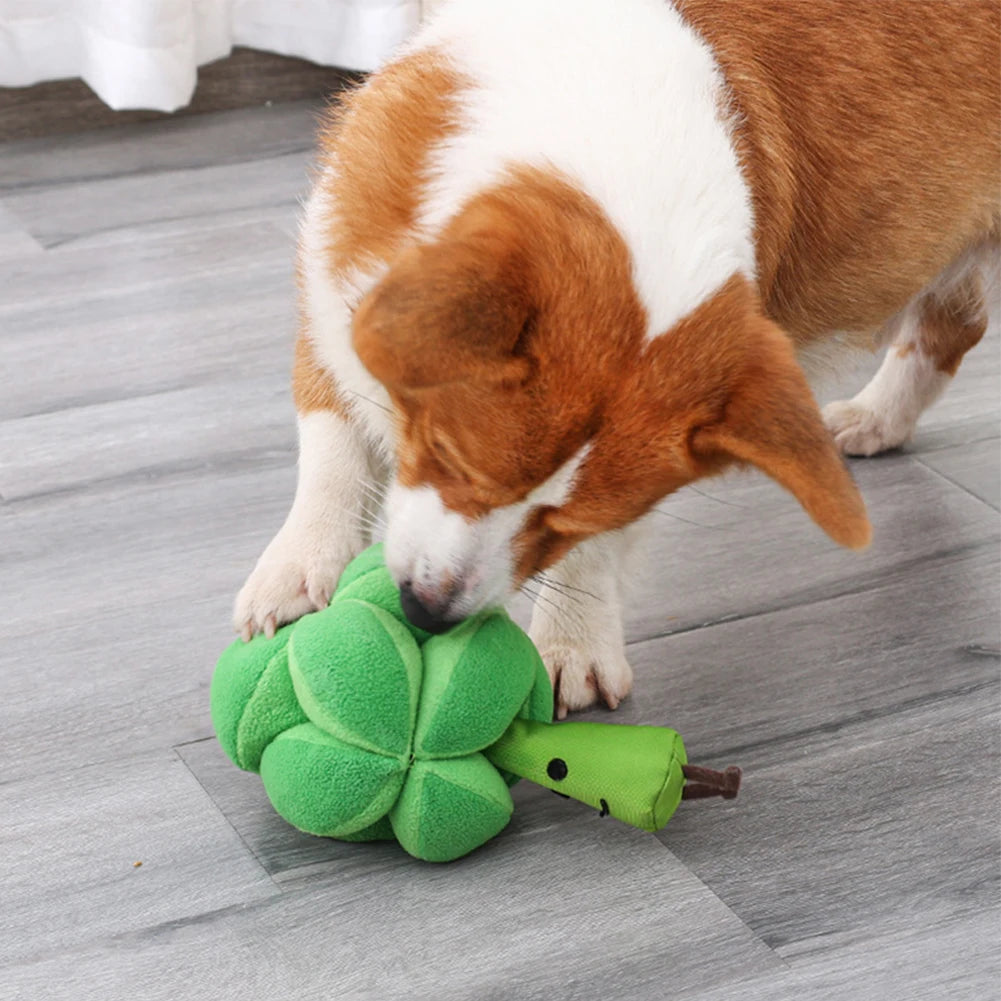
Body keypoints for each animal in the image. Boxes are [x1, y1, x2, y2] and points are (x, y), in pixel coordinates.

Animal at [232, 0, 992, 720]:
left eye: (563, 526)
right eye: (446, 455)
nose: (427, 612)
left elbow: (592, 557)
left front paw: (571, 647)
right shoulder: (331, 297)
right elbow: (331, 453)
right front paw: (295, 571)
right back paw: (875, 418)